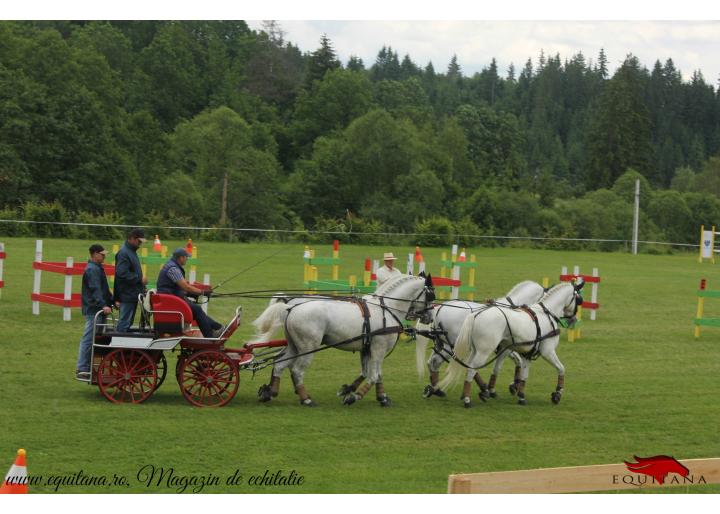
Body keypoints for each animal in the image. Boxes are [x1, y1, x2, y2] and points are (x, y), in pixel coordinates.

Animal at [250, 274, 436, 406]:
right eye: (430, 295)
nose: (430, 317)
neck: (386, 309)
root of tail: (290, 307)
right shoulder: (379, 349)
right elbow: (374, 375)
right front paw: (354, 396)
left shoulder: (368, 349)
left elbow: (373, 373)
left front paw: (380, 397)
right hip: (308, 347)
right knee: (296, 370)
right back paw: (306, 399)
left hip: (294, 346)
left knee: (279, 364)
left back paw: (270, 392)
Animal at [414, 278, 544, 402]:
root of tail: (440, 308)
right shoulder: (506, 348)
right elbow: (515, 362)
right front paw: (504, 387)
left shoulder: (506, 347)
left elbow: (518, 361)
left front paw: (514, 385)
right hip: (452, 346)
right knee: (438, 362)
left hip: (442, 344)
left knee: (431, 362)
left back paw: (434, 389)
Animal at [436, 278, 584, 406]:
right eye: (579, 299)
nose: (573, 321)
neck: (545, 314)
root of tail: (475, 314)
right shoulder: (547, 352)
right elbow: (561, 368)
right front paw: (557, 393)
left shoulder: (524, 354)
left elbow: (523, 374)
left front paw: (520, 395)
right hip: (482, 352)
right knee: (470, 369)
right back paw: (467, 399)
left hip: (472, 350)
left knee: (463, 366)